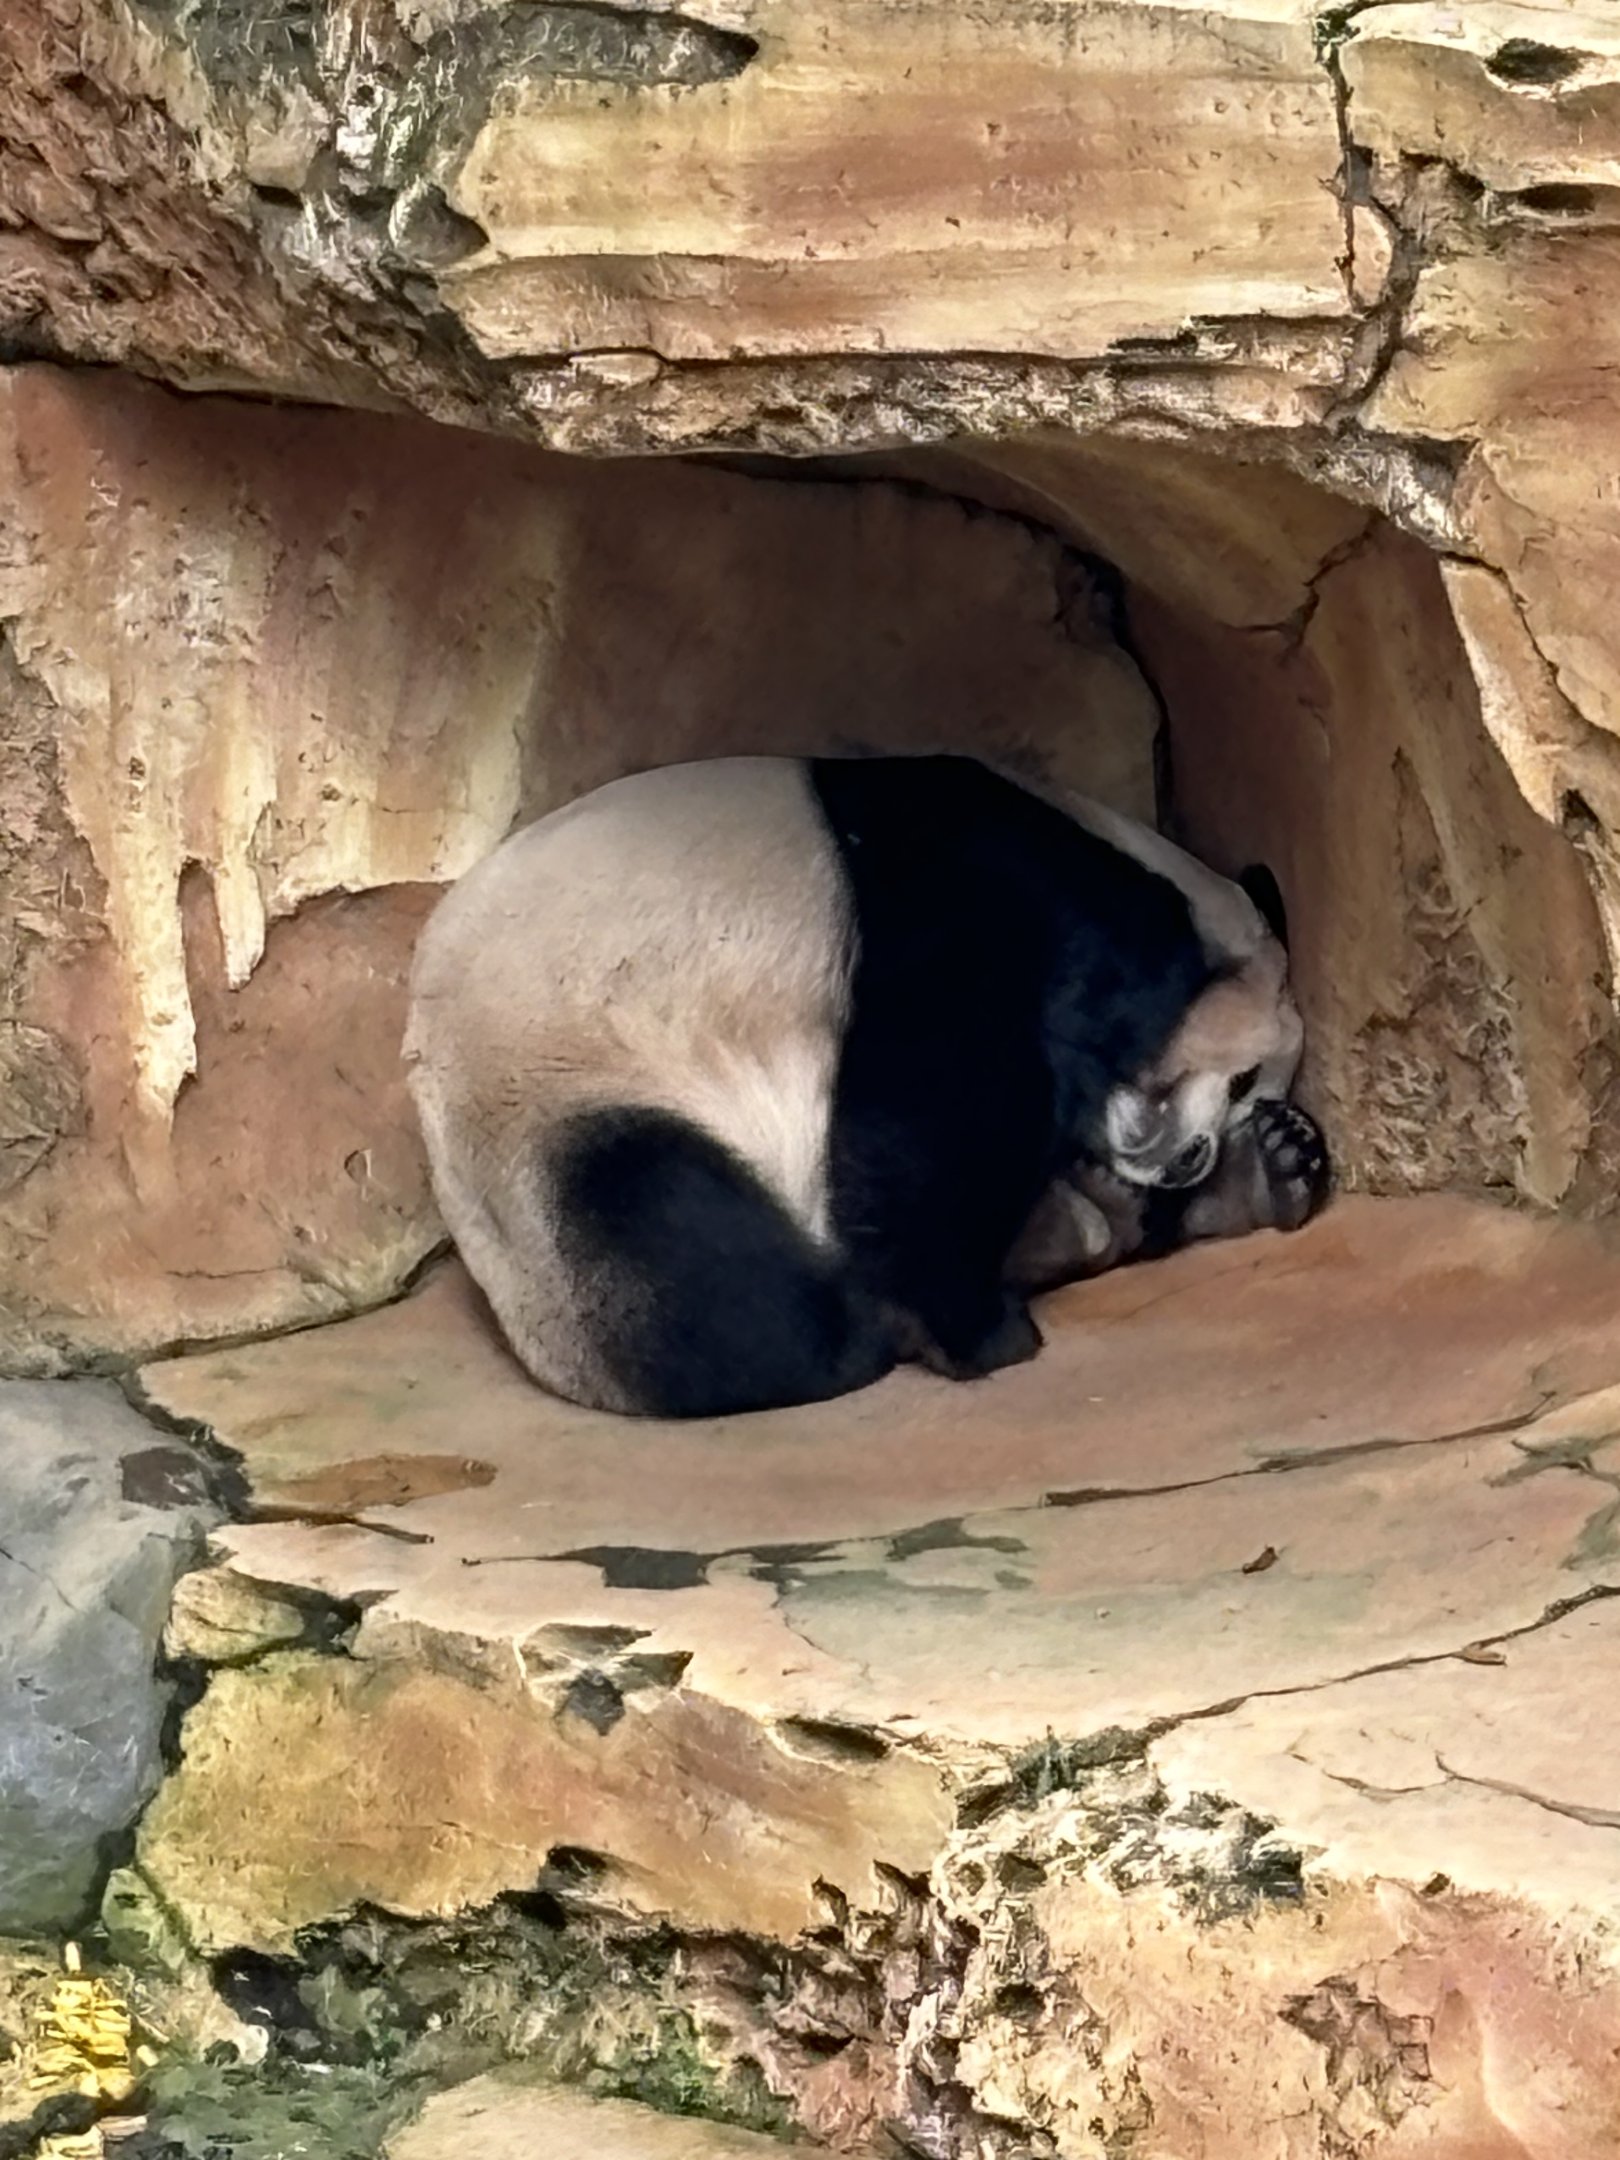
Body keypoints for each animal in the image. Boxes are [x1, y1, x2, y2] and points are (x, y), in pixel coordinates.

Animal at [404, 754, 1330, 1419]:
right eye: (1242, 1078)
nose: (1190, 1159)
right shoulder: (967, 896)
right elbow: (942, 1091)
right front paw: (977, 1327)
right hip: (570, 1096)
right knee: (691, 1268)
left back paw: (1237, 1184)